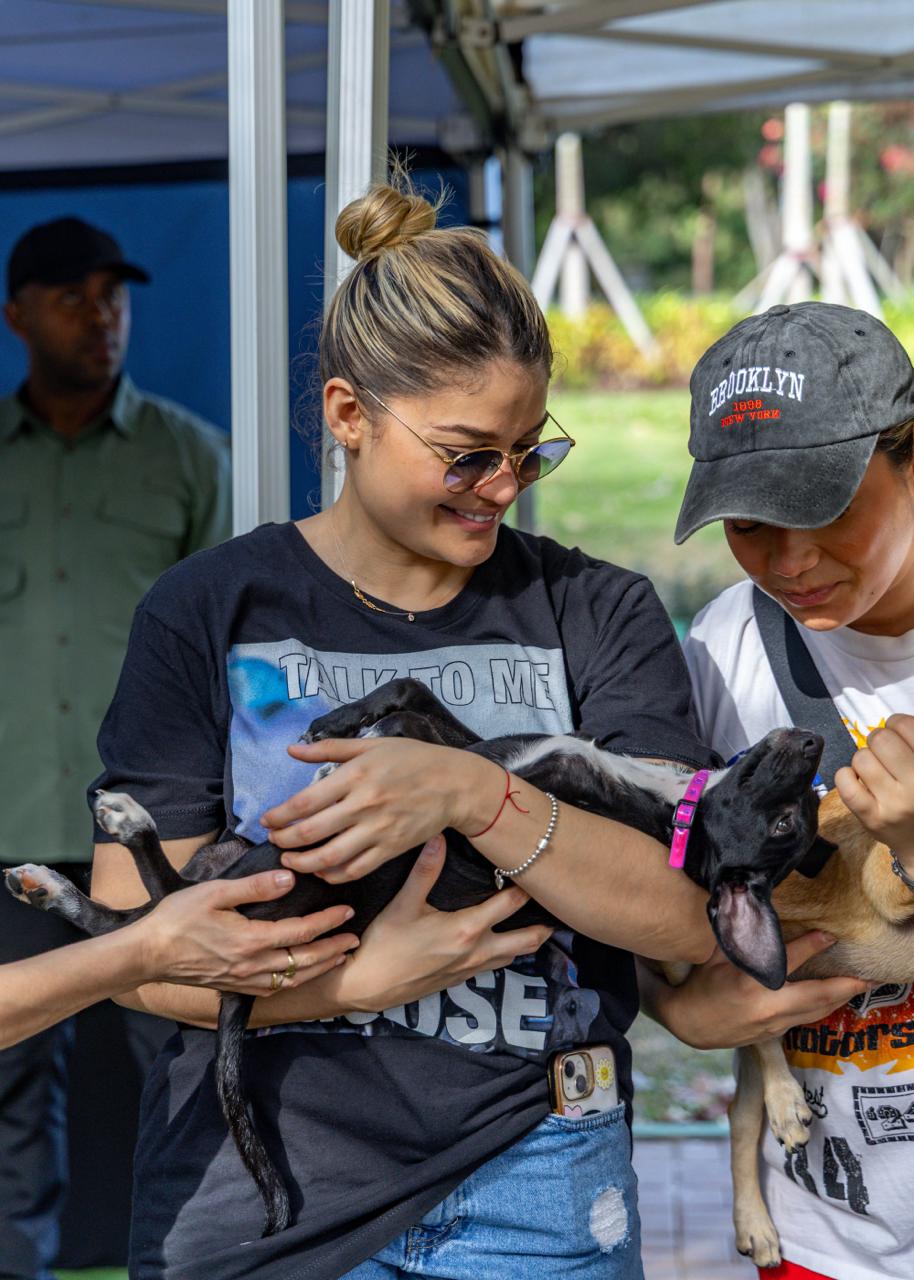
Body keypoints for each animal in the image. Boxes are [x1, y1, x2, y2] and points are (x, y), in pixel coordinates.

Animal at [5, 677, 832, 1239]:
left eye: (788, 822)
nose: (816, 744)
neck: (664, 803)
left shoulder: (490, 798)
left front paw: (350, 750)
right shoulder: (477, 747)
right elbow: (411, 694)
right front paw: (339, 733)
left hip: (288, 878)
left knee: (172, 906)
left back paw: (115, 831)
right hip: (234, 850)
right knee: (143, 915)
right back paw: (67, 874)